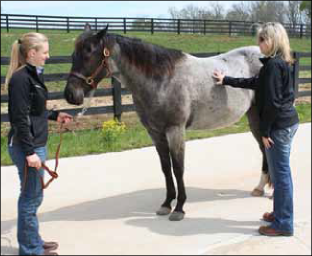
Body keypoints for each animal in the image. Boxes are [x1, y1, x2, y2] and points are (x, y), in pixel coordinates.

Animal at [65, 23, 270, 220]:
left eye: (89, 52)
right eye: (73, 54)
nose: (70, 95)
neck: (162, 79)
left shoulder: (175, 130)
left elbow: (178, 168)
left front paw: (179, 208)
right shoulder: (155, 132)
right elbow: (165, 167)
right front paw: (166, 204)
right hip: (253, 117)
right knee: (264, 148)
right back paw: (261, 188)